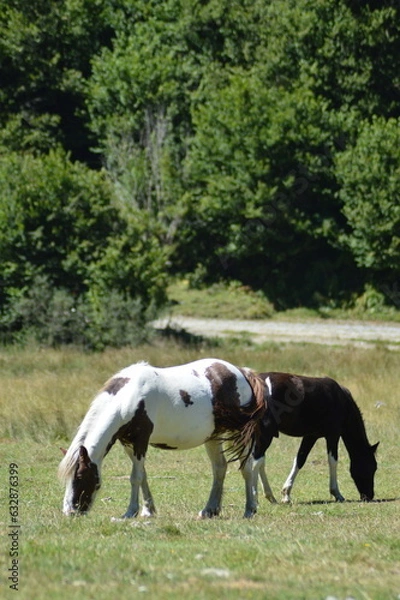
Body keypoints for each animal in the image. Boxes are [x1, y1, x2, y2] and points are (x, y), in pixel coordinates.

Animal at [58, 358, 266, 516]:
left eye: (79, 476)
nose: (70, 512)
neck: (129, 398)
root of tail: (241, 372)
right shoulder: (128, 443)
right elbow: (143, 476)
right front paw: (148, 510)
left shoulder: (140, 441)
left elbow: (135, 477)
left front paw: (130, 512)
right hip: (214, 437)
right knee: (220, 468)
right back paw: (209, 510)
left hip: (237, 434)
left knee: (247, 467)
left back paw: (250, 510)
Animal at [252, 372, 380, 504]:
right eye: (373, 467)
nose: (369, 496)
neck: (342, 400)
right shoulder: (333, 435)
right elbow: (333, 461)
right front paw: (337, 493)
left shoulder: (311, 436)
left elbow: (300, 460)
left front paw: (286, 494)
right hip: (266, 434)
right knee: (257, 460)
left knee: (259, 460)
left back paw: (270, 497)